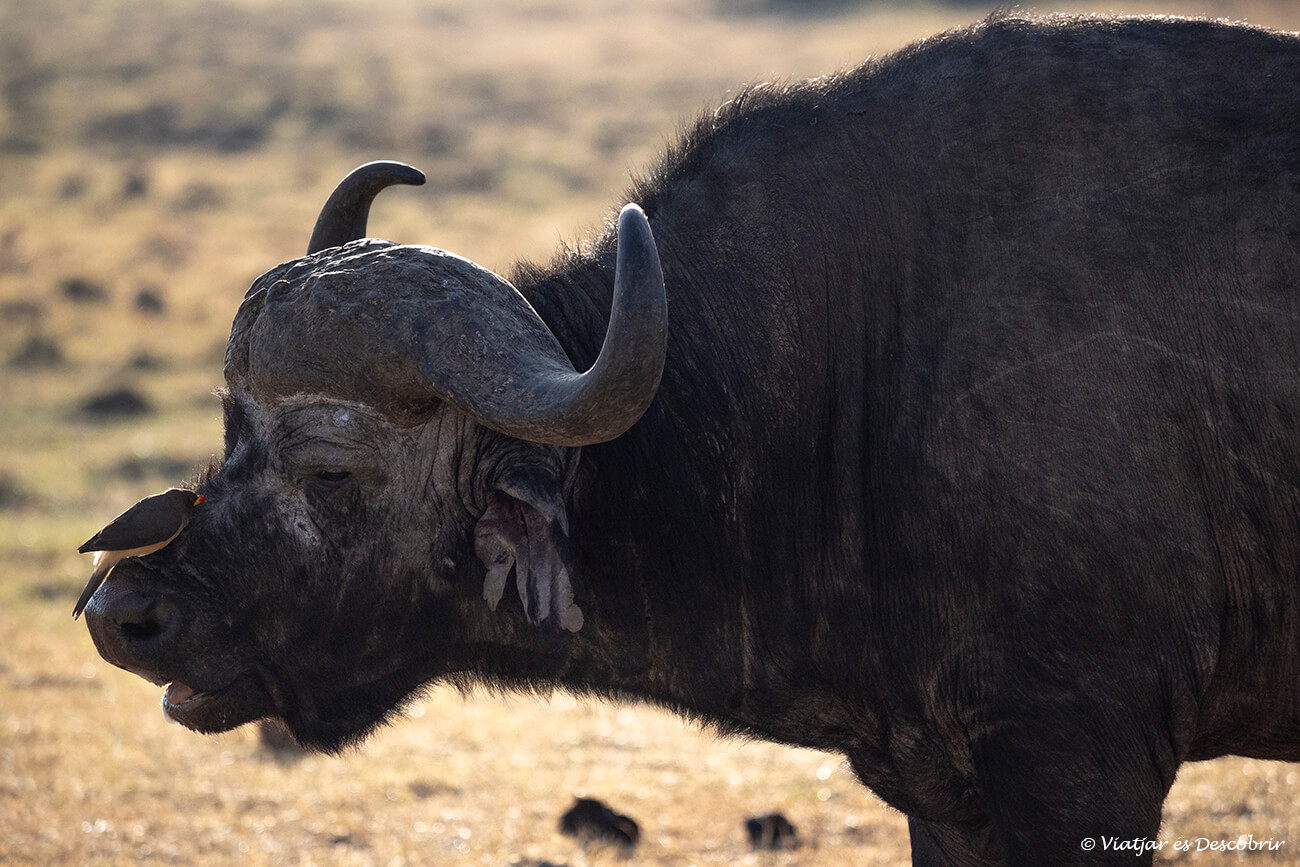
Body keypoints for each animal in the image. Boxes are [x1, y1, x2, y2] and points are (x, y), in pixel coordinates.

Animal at [81, 13, 1300, 866]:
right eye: (230, 430)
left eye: (330, 469)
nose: (123, 614)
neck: (861, 353)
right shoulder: (952, 794)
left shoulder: (1081, 759)